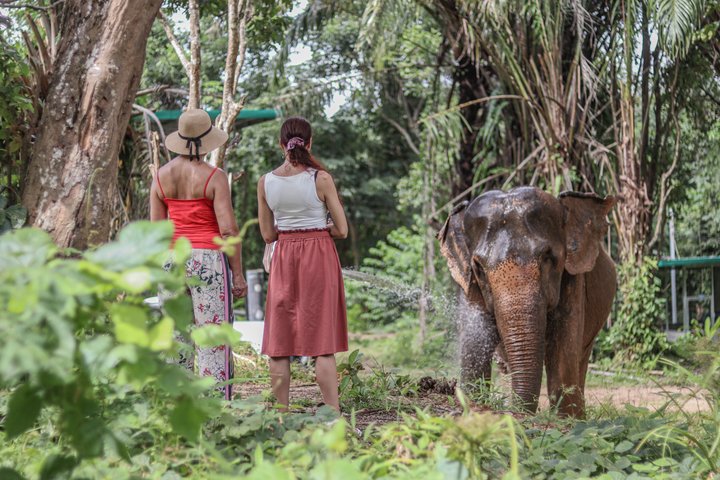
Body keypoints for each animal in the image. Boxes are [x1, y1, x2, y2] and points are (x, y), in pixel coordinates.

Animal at [438, 187, 617, 417]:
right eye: (478, 267)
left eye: (548, 257)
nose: (515, 412)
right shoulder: (468, 284)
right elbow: (474, 345)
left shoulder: (573, 281)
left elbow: (562, 358)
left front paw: (567, 420)